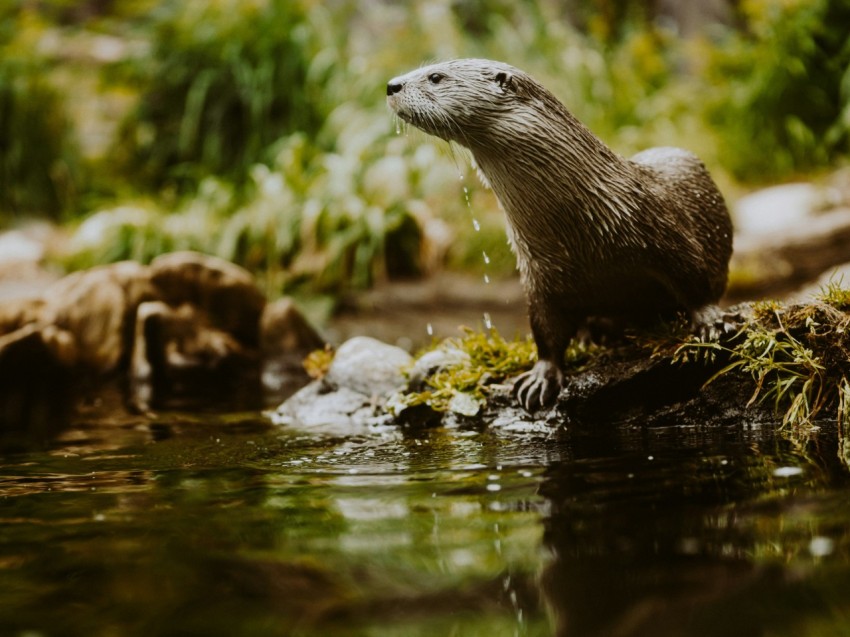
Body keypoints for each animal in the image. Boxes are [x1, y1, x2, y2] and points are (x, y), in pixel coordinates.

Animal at [386, 59, 733, 413]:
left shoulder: (665, 232)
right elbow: (545, 329)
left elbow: (693, 277)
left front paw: (709, 323)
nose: (391, 85)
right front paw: (541, 377)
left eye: (435, 76)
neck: (586, 232)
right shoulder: (540, 274)